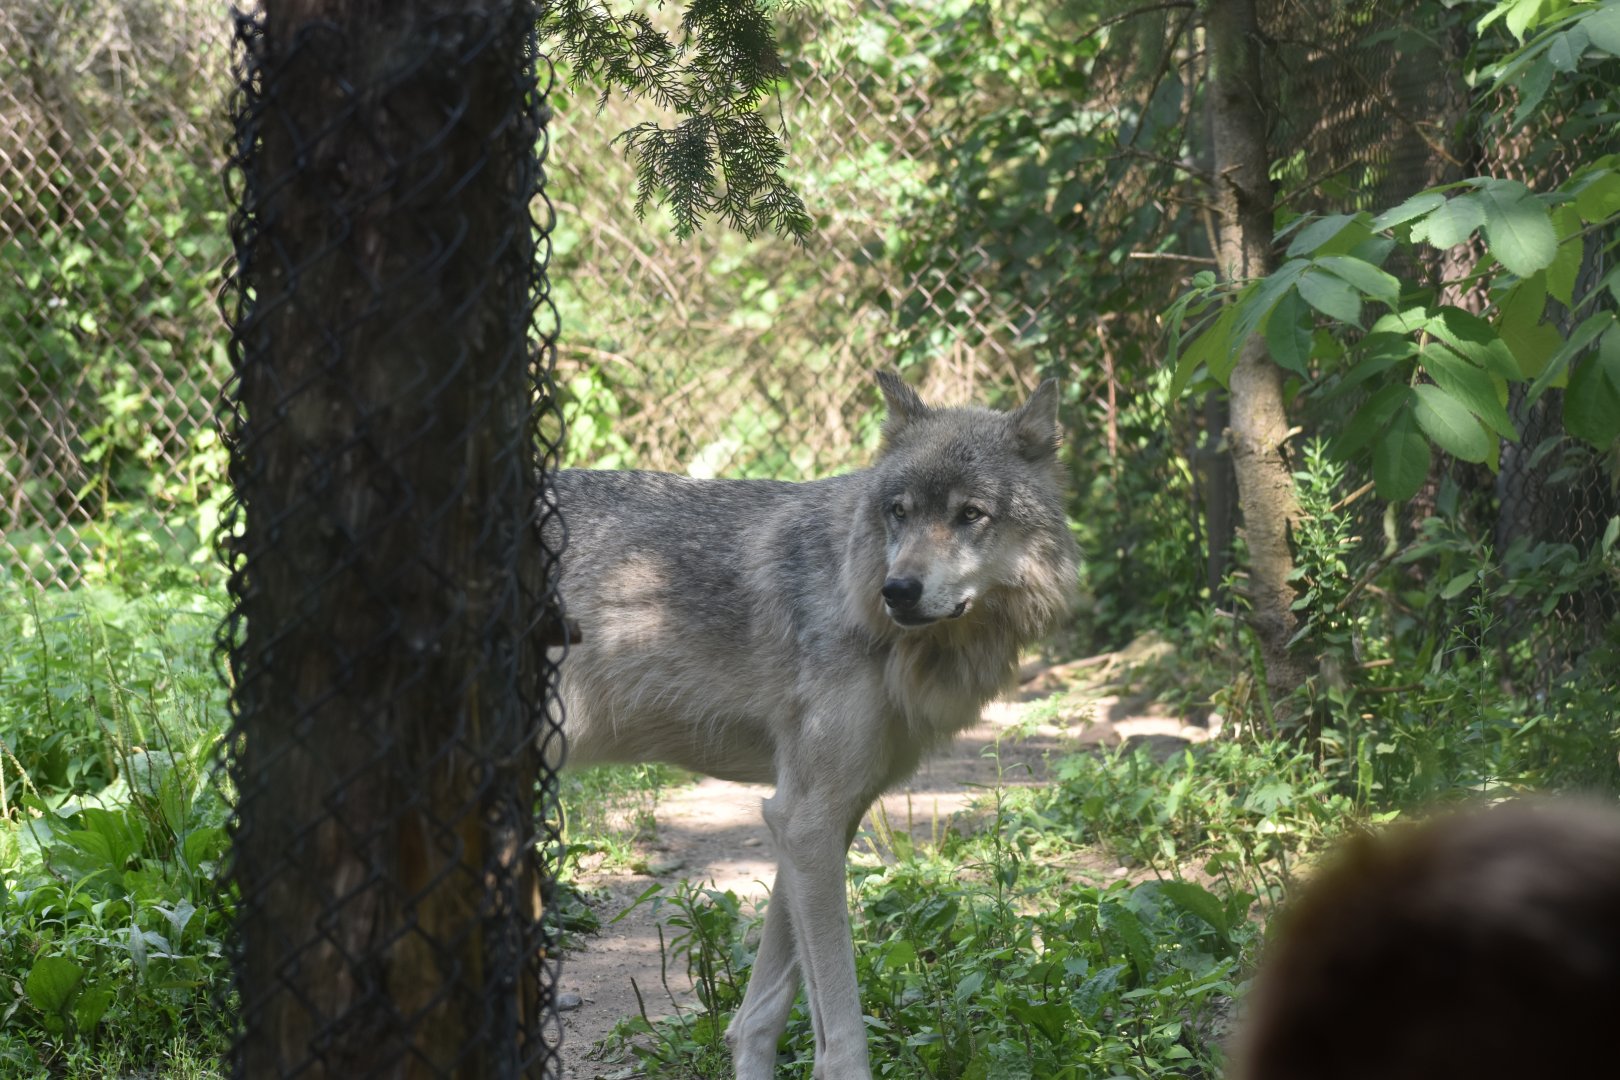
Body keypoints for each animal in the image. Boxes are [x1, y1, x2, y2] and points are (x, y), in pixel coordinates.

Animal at [547, 372, 1078, 1079]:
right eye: (899, 512)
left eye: (971, 515)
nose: (897, 590)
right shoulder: (806, 820)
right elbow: (842, 1038)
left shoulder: (815, 817)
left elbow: (758, 1014)